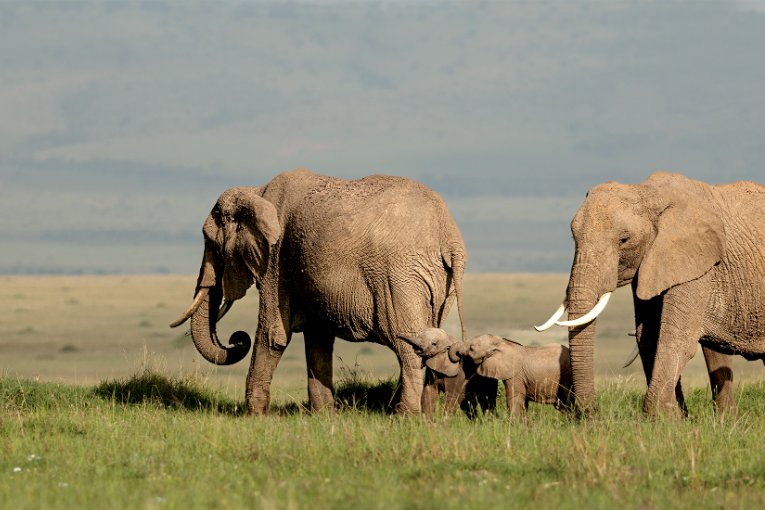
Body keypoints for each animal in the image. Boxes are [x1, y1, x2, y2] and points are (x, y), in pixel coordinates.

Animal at [170, 168, 472, 415]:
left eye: (210, 242)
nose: (236, 339)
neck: (257, 192)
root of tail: (448, 235)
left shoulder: (276, 260)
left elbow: (273, 334)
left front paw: (254, 418)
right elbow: (317, 337)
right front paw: (324, 416)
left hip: (398, 277)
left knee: (410, 346)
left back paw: (404, 416)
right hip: (437, 281)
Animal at [536, 171, 765, 417]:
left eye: (624, 239)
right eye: (573, 237)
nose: (591, 414)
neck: (646, 193)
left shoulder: (697, 264)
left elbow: (676, 337)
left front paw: (661, 416)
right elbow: (648, 336)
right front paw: (676, 417)